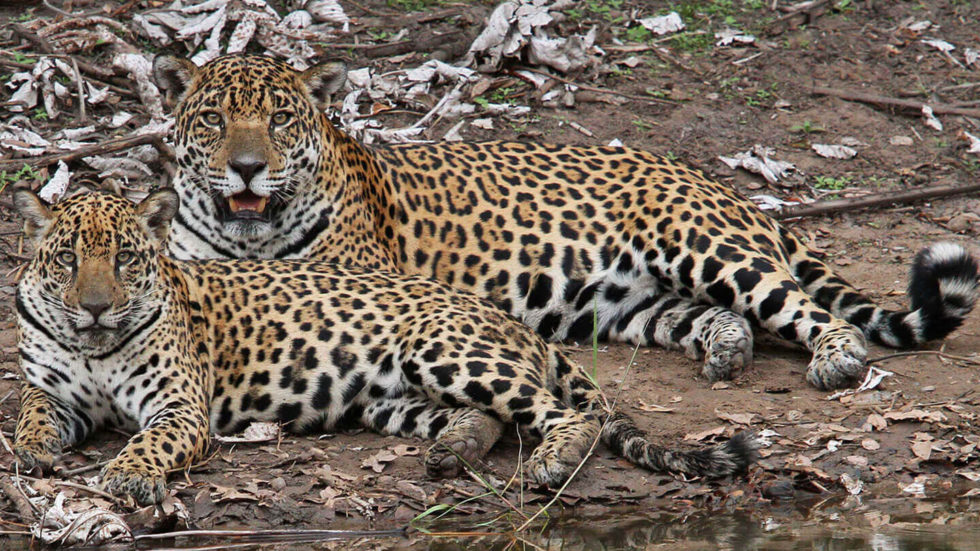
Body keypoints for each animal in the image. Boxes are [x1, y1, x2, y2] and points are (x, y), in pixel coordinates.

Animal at [11, 189, 757, 505]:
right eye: (69, 258)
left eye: (126, 258)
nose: (95, 306)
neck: (94, 345)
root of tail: (499, 313)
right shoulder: (50, 389)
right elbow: (31, 415)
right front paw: (33, 450)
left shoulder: (178, 407)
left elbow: (151, 439)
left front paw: (129, 474)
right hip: (387, 397)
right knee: (486, 417)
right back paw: (455, 448)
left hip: (443, 349)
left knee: (570, 415)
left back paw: (554, 459)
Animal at [153, 53, 979, 391]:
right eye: (215, 119)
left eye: (281, 119)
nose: (246, 168)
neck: (247, 234)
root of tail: (721, 184)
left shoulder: (361, 286)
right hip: (624, 303)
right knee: (709, 316)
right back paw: (726, 346)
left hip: (702, 244)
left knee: (805, 307)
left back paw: (836, 359)